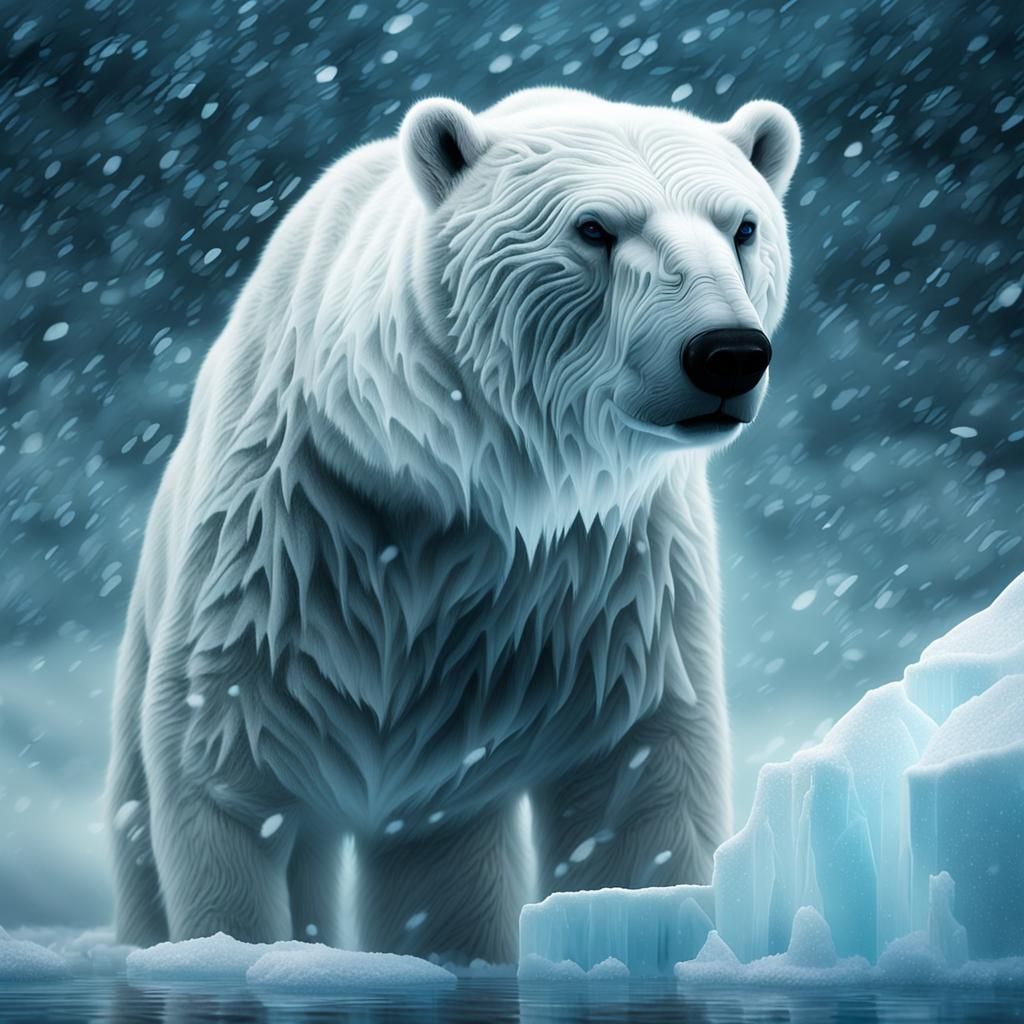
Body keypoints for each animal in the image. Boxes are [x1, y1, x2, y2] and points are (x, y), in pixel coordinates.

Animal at [105, 86, 800, 962]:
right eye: (594, 228)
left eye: (742, 225)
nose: (727, 353)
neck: (467, 479)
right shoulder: (279, 537)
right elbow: (222, 760)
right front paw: (234, 944)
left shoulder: (612, 574)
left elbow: (639, 773)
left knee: (440, 864)